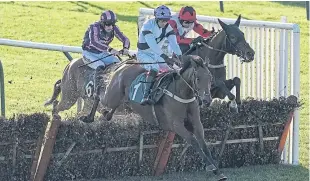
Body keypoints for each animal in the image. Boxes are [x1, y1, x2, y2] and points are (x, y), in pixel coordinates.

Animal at [82, 55, 226, 180]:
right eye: (198, 79)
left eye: (210, 77)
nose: (207, 101)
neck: (182, 93)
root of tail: (125, 64)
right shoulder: (176, 125)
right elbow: (193, 141)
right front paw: (211, 166)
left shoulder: (196, 123)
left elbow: (203, 143)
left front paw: (218, 171)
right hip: (112, 96)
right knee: (99, 94)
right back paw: (89, 113)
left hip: (122, 100)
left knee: (111, 106)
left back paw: (107, 114)